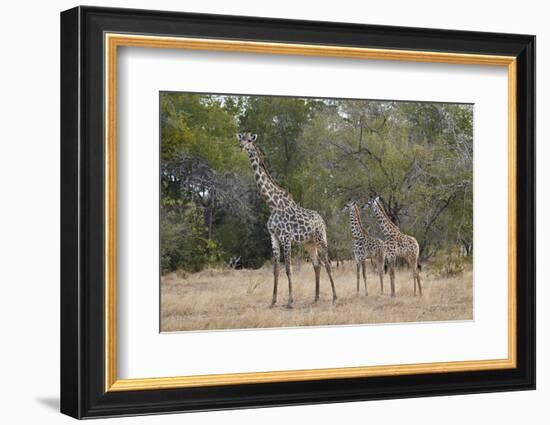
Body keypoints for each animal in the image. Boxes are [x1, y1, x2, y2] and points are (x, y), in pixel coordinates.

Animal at [236, 131, 338, 306]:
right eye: (241, 139)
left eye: (250, 140)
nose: (242, 146)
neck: (272, 204)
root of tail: (322, 220)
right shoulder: (274, 237)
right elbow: (276, 270)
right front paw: (273, 301)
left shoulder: (286, 237)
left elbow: (288, 269)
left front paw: (290, 301)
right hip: (309, 243)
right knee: (317, 264)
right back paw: (316, 298)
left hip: (320, 238)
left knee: (328, 263)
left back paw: (334, 297)